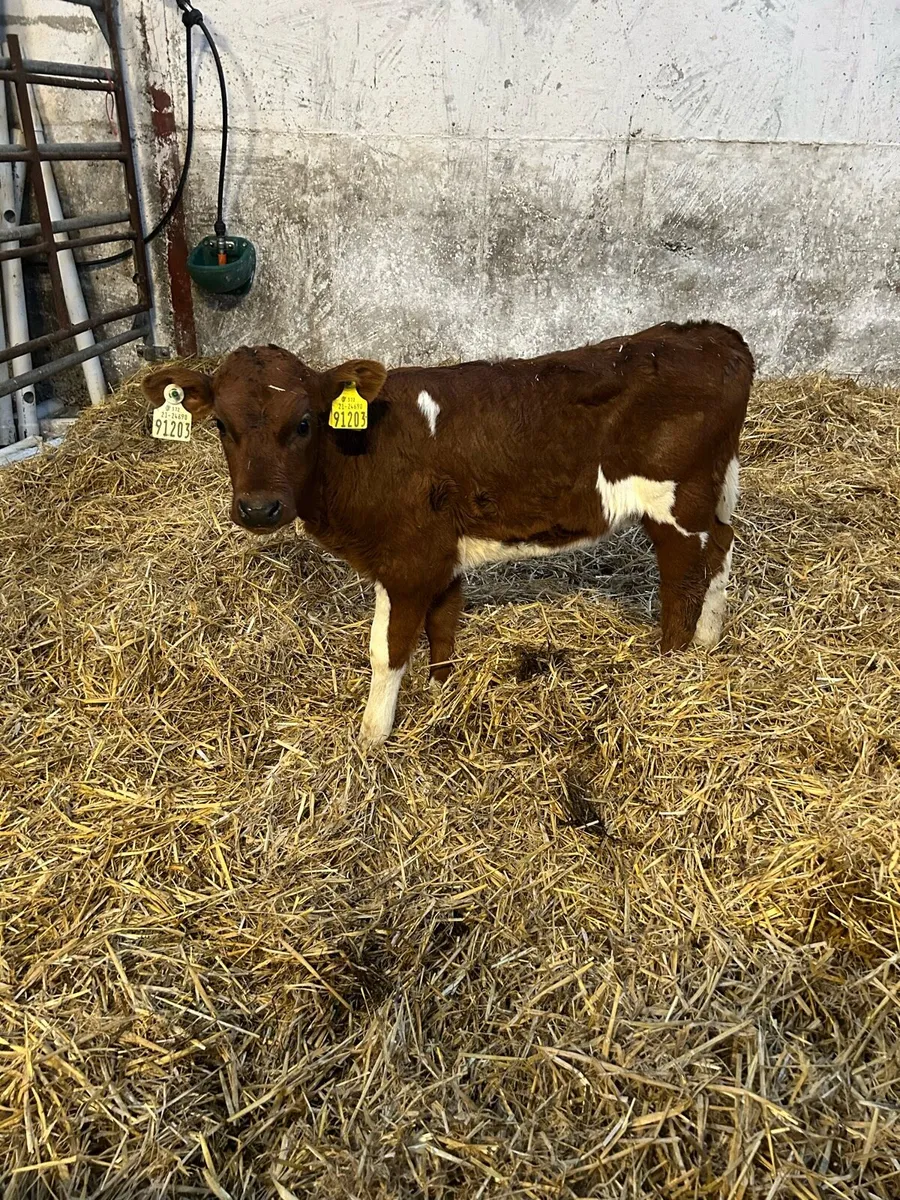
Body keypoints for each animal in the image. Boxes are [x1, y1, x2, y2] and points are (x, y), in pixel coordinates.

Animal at [142, 321, 754, 746]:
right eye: (221, 425)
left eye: (304, 422)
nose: (259, 508)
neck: (361, 449)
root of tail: (714, 336)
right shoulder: (439, 553)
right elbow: (443, 625)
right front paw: (441, 692)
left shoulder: (406, 561)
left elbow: (386, 650)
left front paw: (371, 736)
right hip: (712, 489)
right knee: (722, 545)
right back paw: (708, 639)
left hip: (675, 503)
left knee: (681, 577)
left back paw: (669, 662)